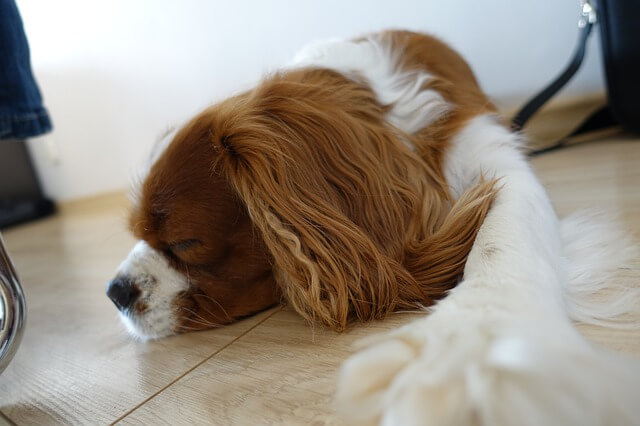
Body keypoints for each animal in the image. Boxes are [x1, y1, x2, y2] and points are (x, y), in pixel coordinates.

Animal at [107, 30, 636, 426]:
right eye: (136, 234)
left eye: (185, 243)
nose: (115, 292)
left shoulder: (491, 150)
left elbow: (501, 244)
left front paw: (478, 346)